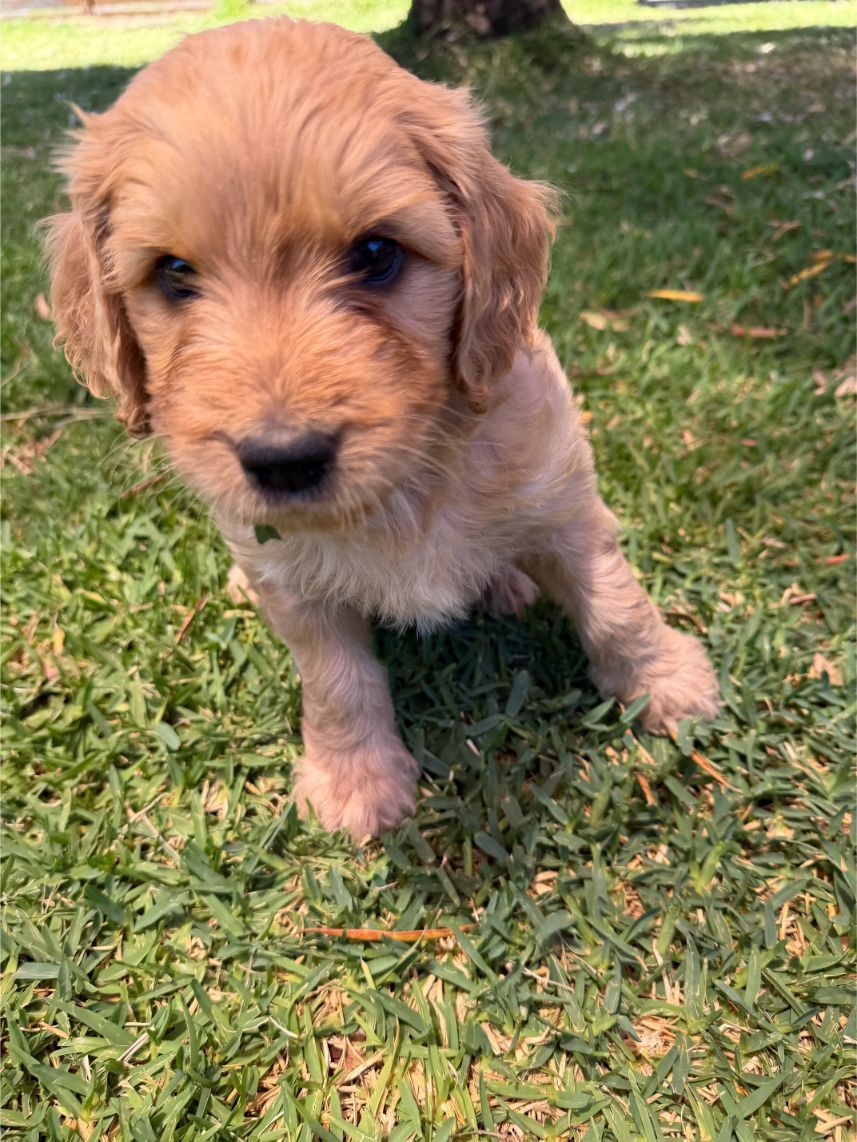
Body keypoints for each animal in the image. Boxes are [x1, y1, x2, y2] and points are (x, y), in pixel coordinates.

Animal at [46, 18, 720, 837]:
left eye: (375, 253)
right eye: (174, 273)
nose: (282, 460)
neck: (406, 486)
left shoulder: (562, 502)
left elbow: (618, 603)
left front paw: (668, 684)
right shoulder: (295, 586)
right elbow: (337, 683)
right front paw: (355, 782)